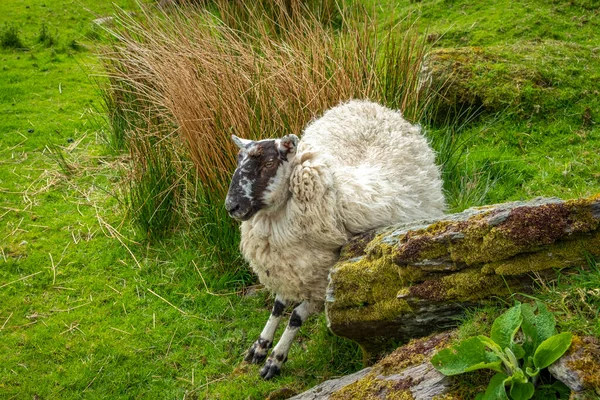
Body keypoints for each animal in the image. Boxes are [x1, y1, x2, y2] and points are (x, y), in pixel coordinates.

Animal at [225, 99, 446, 378]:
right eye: (238, 161)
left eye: (268, 164)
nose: (231, 206)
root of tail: (368, 104)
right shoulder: (289, 266)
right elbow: (278, 306)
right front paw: (259, 347)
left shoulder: (322, 283)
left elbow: (295, 317)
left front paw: (275, 359)